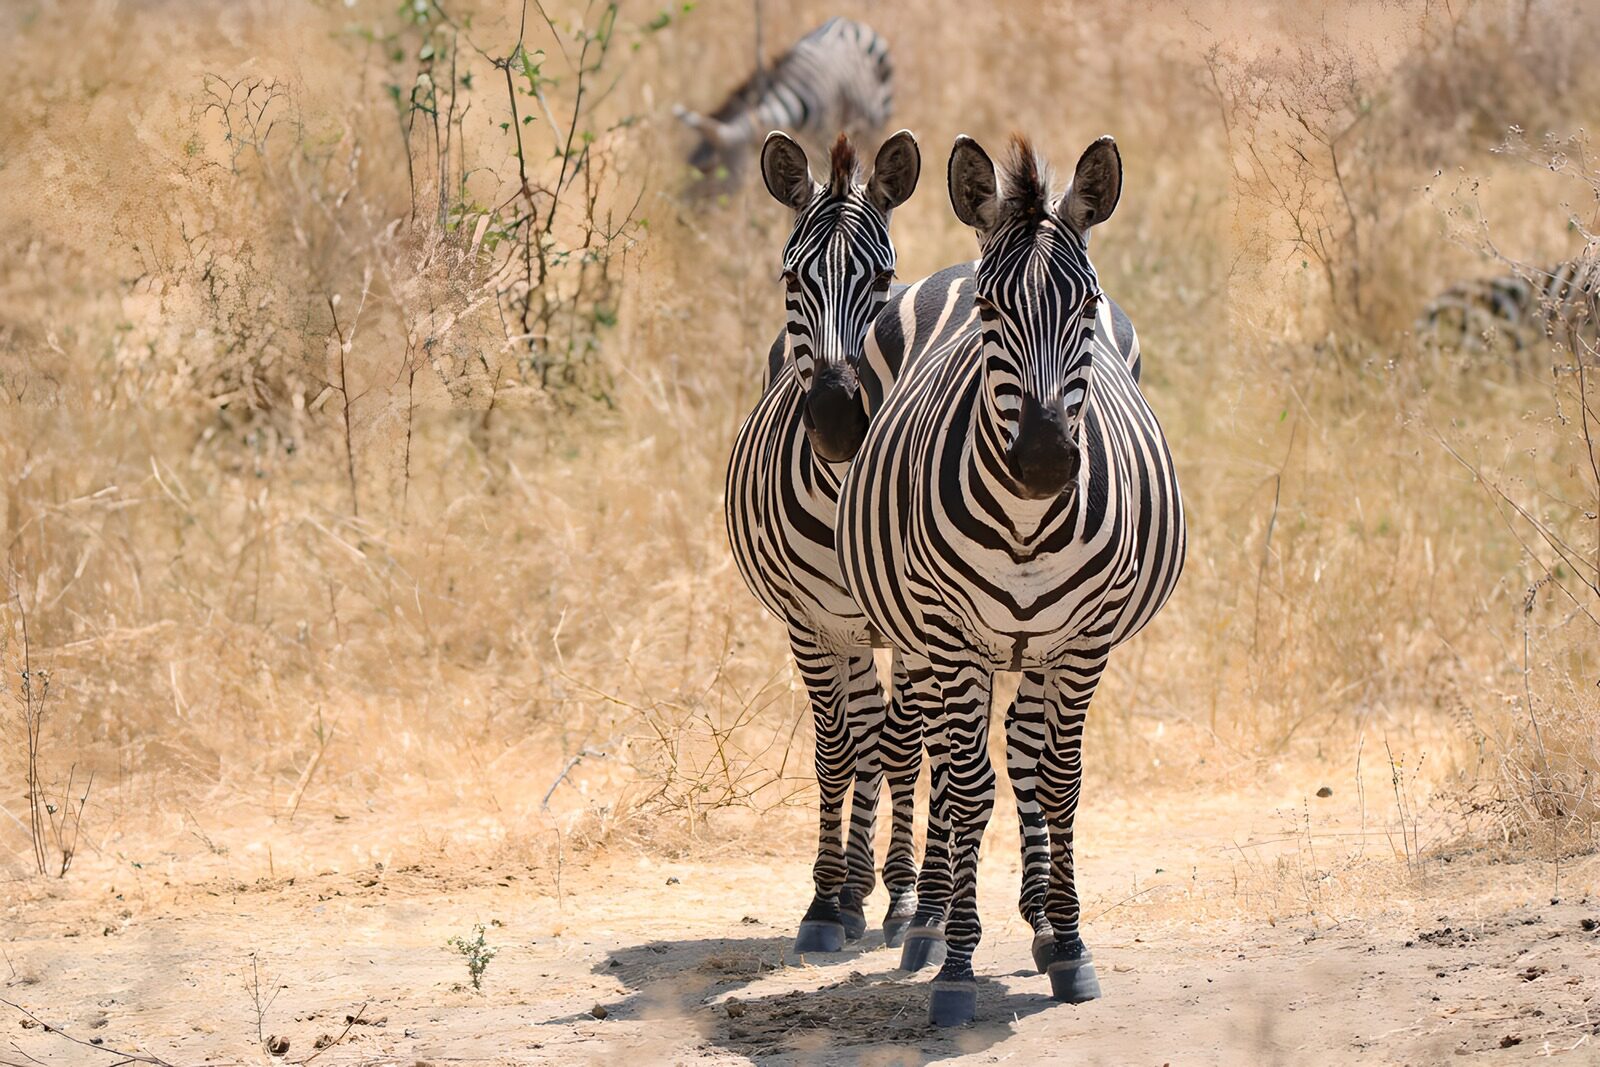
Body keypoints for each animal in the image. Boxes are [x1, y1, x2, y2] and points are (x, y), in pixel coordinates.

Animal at [837, 134, 1187, 1025]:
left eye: (1086, 307)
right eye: (992, 313)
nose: (1044, 460)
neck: (1028, 523)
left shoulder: (1084, 641)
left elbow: (1058, 780)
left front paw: (1070, 942)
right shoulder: (952, 638)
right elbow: (965, 789)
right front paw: (957, 963)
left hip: (1037, 648)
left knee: (1027, 752)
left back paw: (1037, 917)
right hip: (922, 637)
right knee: (932, 755)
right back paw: (926, 921)